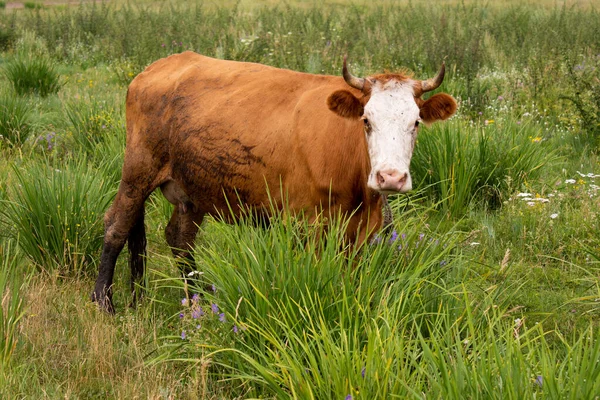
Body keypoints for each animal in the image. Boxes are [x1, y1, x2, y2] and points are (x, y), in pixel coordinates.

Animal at [91, 50, 454, 312]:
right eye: (366, 120)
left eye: (416, 122)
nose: (390, 177)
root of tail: (156, 67)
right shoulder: (306, 224)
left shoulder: (362, 230)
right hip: (138, 170)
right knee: (117, 226)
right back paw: (103, 302)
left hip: (193, 189)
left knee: (180, 240)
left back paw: (196, 302)